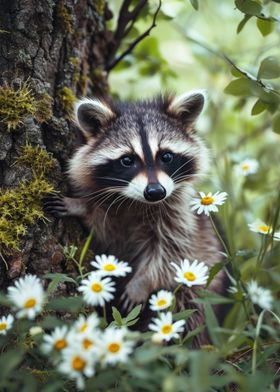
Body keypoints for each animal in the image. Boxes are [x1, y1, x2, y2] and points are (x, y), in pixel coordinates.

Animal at [44, 91, 226, 344]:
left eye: (166, 156)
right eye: (127, 160)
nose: (156, 192)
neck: (137, 202)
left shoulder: (178, 213)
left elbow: (170, 251)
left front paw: (142, 282)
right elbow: (107, 231)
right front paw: (82, 207)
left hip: (201, 285)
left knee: (189, 312)